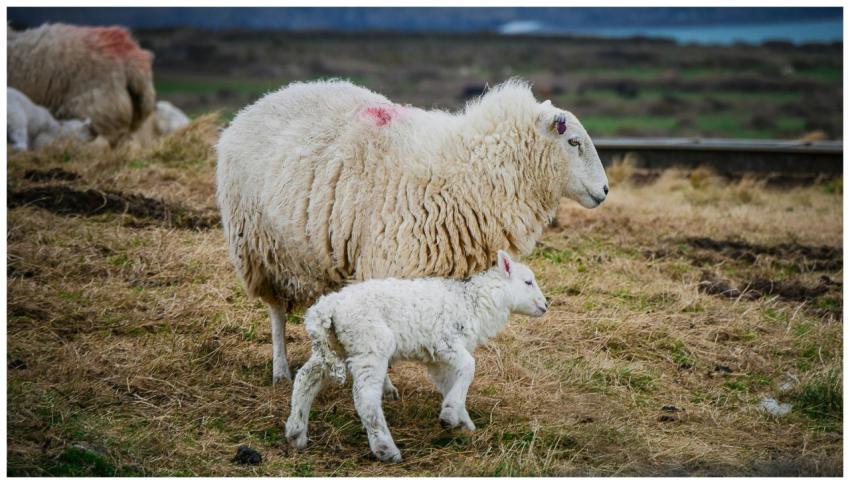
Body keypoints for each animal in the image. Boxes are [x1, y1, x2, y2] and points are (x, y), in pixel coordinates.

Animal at [216, 79, 608, 383]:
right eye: (573, 142)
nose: (604, 191)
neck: (469, 170)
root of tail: (255, 106)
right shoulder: (390, 264)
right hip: (259, 249)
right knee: (277, 313)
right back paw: (280, 369)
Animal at [285, 250, 547, 462]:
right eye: (528, 282)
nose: (546, 305)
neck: (474, 302)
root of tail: (326, 308)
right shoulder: (445, 342)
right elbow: (469, 367)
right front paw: (450, 414)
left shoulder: (437, 359)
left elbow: (449, 382)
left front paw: (461, 420)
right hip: (370, 344)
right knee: (366, 399)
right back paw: (386, 450)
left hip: (333, 345)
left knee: (306, 377)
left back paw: (296, 431)